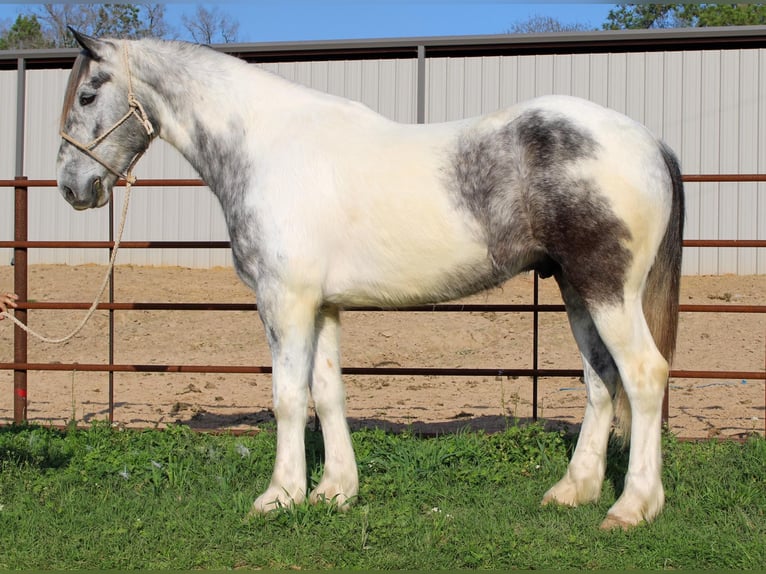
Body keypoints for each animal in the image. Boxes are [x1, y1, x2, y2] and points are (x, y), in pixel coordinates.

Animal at [58, 28, 684, 532]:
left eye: (88, 95)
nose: (71, 187)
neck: (267, 146)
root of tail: (650, 141)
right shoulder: (323, 306)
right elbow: (327, 391)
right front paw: (335, 492)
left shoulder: (284, 302)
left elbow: (288, 397)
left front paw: (279, 496)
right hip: (576, 290)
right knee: (602, 380)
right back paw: (574, 490)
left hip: (609, 291)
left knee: (643, 376)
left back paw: (633, 507)